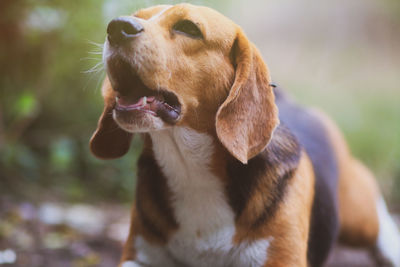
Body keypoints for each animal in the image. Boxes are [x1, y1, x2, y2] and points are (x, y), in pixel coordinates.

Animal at [90, 3, 400, 267]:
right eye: (136, 16)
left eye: (188, 28)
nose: (116, 27)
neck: (191, 169)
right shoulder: (139, 256)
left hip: (357, 212)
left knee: (377, 215)